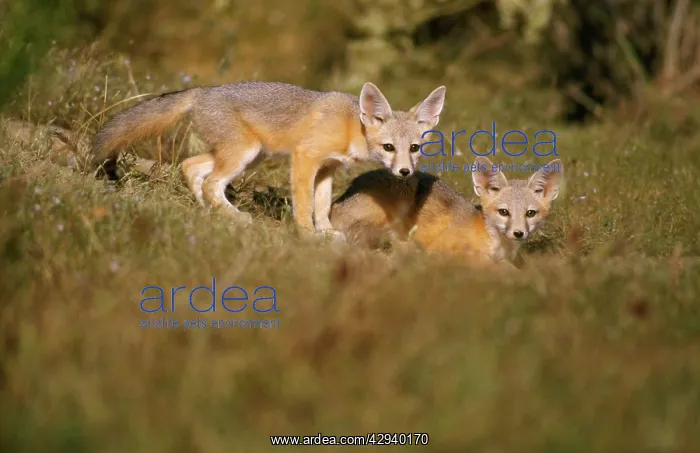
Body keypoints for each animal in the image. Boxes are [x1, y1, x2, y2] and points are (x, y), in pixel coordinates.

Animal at [90, 81, 446, 239]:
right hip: (243, 155)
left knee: (191, 168)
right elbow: (304, 204)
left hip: (247, 157)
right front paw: (306, 233)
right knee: (211, 183)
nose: (404, 171)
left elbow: (322, 205)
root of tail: (203, 91)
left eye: (415, 148)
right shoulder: (305, 158)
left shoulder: (327, 168)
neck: (350, 125)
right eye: (388, 147)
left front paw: (327, 231)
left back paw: (209, 213)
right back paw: (234, 216)